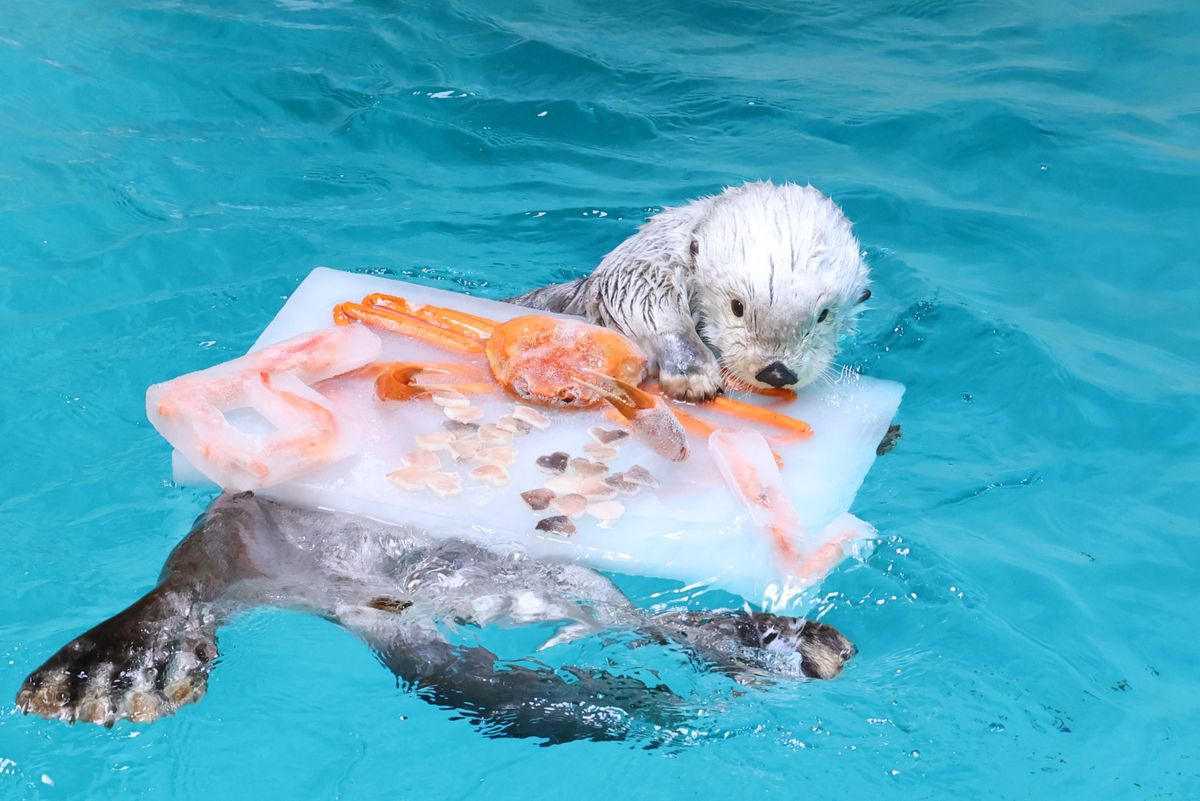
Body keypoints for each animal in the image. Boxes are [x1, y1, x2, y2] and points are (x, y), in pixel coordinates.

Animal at [508, 179, 873, 400]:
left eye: (823, 316)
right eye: (737, 307)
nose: (777, 372)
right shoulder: (646, 264)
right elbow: (641, 299)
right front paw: (693, 374)